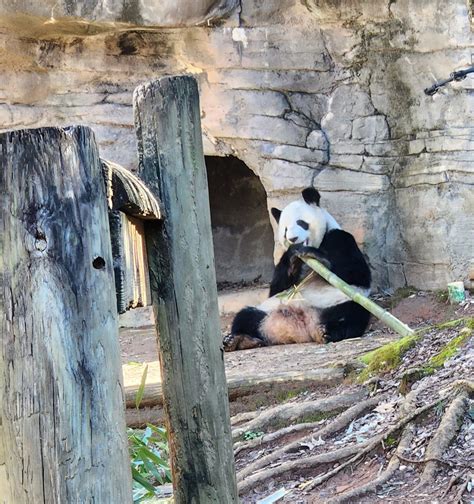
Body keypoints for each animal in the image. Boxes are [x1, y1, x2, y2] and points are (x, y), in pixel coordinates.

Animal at [224, 187, 372, 352]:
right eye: (285, 230)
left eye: (301, 223)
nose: (293, 239)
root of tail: (299, 327)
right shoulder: (284, 261)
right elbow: (277, 287)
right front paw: (295, 260)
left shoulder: (340, 239)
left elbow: (356, 274)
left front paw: (315, 255)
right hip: (268, 310)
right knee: (246, 316)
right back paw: (238, 340)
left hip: (337, 303)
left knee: (351, 316)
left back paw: (327, 332)